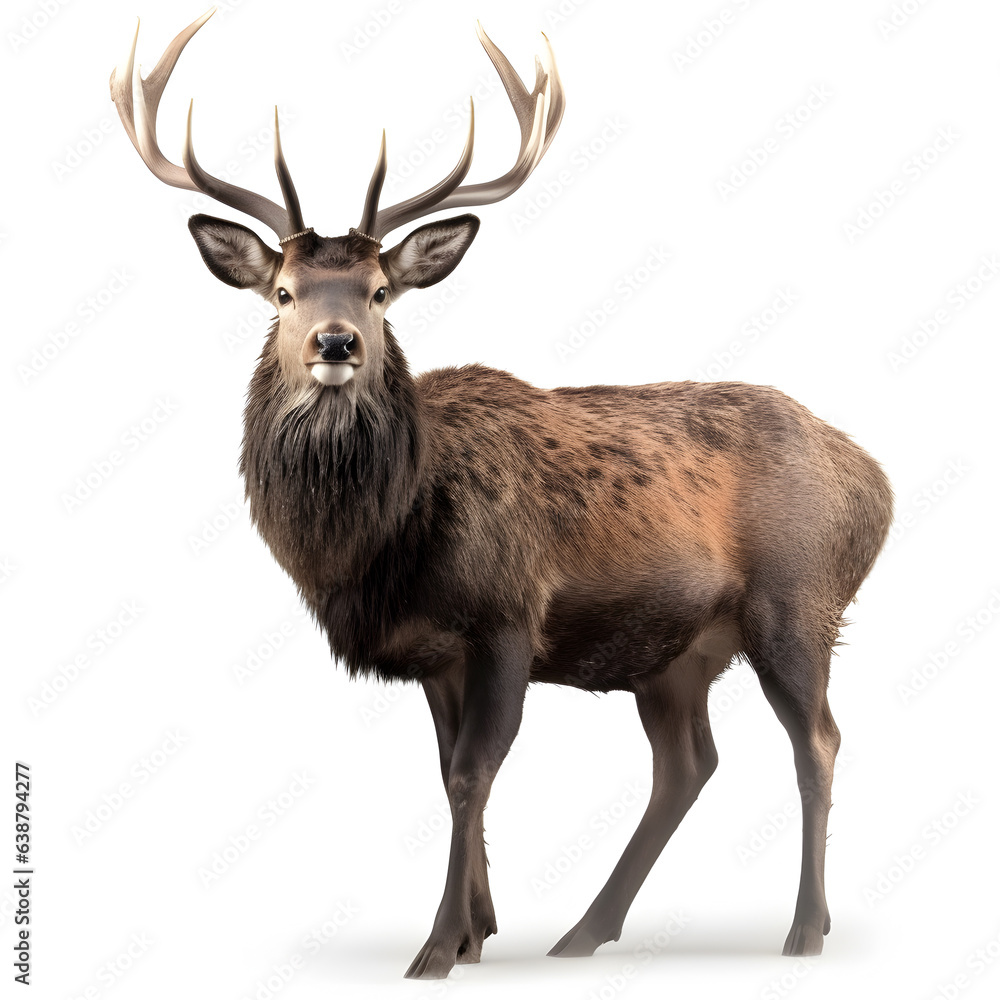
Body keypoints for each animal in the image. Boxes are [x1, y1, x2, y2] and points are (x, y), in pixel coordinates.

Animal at [110, 9, 893, 981]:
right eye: (283, 292)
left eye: (380, 292)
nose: (335, 344)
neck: (385, 545)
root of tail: (875, 481)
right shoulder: (436, 652)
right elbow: (448, 773)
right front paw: (480, 931)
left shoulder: (507, 616)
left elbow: (471, 775)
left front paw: (438, 946)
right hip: (677, 652)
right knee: (688, 764)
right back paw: (584, 931)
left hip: (799, 600)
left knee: (816, 741)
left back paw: (803, 930)